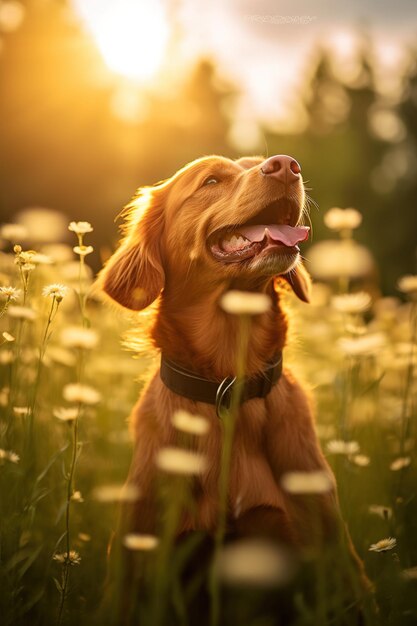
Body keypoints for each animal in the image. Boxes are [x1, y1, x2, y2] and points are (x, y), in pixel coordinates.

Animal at [100, 152, 370, 616]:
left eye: (263, 162)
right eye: (210, 180)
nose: (287, 165)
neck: (227, 386)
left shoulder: (330, 564)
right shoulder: (145, 567)